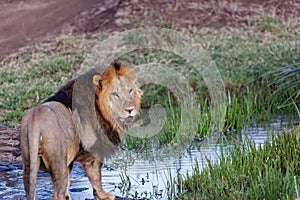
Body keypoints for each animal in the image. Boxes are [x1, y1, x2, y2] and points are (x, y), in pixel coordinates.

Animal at [19, 61, 143, 199]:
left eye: (130, 91)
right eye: (115, 94)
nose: (130, 109)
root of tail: (35, 120)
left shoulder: (70, 161)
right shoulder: (93, 153)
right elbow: (96, 177)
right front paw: (103, 195)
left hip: (29, 164)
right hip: (58, 164)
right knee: (57, 194)